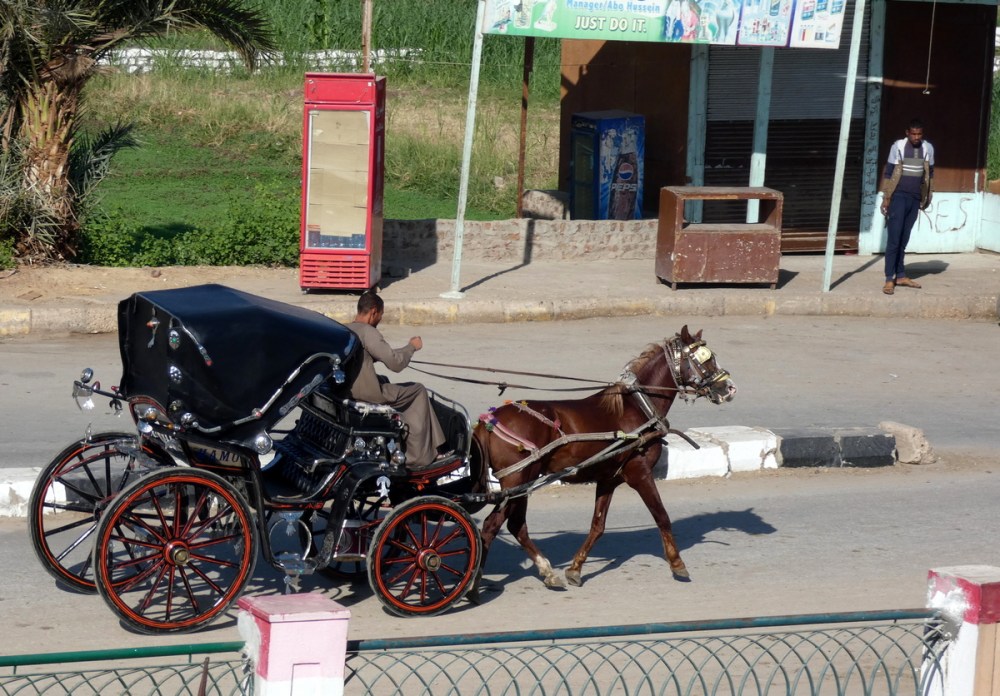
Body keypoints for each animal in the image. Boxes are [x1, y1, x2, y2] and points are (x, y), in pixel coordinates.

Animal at [469, 325, 736, 597]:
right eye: (705, 359)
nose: (729, 388)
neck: (637, 407)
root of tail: (489, 420)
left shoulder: (609, 479)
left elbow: (598, 526)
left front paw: (575, 568)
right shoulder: (640, 474)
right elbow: (662, 516)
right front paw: (677, 563)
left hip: (523, 483)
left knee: (515, 525)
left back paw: (547, 572)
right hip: (518, 479)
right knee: (492, 525)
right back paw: (474, 583)